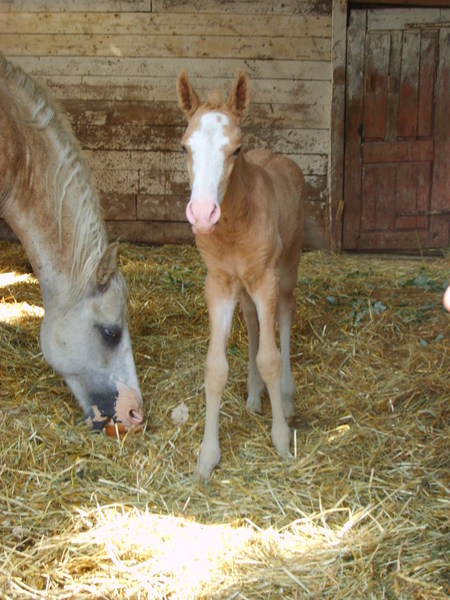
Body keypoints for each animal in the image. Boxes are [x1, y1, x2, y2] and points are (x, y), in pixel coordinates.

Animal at [177, 71, 306, 482]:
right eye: (185, 147)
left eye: (236, 150)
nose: (203, 214)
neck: (235, 222)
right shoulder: (219, 282)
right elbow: (216, 367)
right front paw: (206, 457)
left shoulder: (265, 278)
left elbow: (270, 357)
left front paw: (281, 441)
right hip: (246, 286)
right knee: (252, 321)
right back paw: (253, 395)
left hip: (288, 266)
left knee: (285, 316)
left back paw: (286, 397)